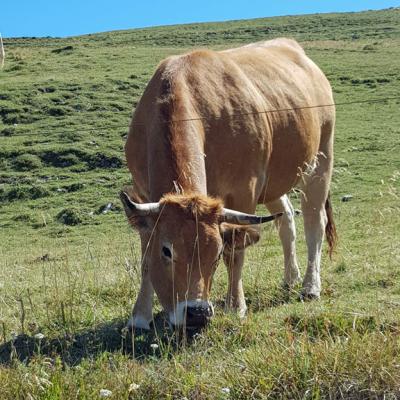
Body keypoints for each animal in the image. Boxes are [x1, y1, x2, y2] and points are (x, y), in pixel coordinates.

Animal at [120, 38, 336, 332]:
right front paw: (139, 316)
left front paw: (236, 306)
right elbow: (145, 257)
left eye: (215, 252)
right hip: (274, 180)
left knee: (315, 223)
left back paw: (310, 286)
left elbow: (236, 250)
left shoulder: (244, 190)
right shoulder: (143, 196)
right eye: (167, 250)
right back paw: (290, 277)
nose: (197, 313)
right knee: (286, 219)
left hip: (320, 162)